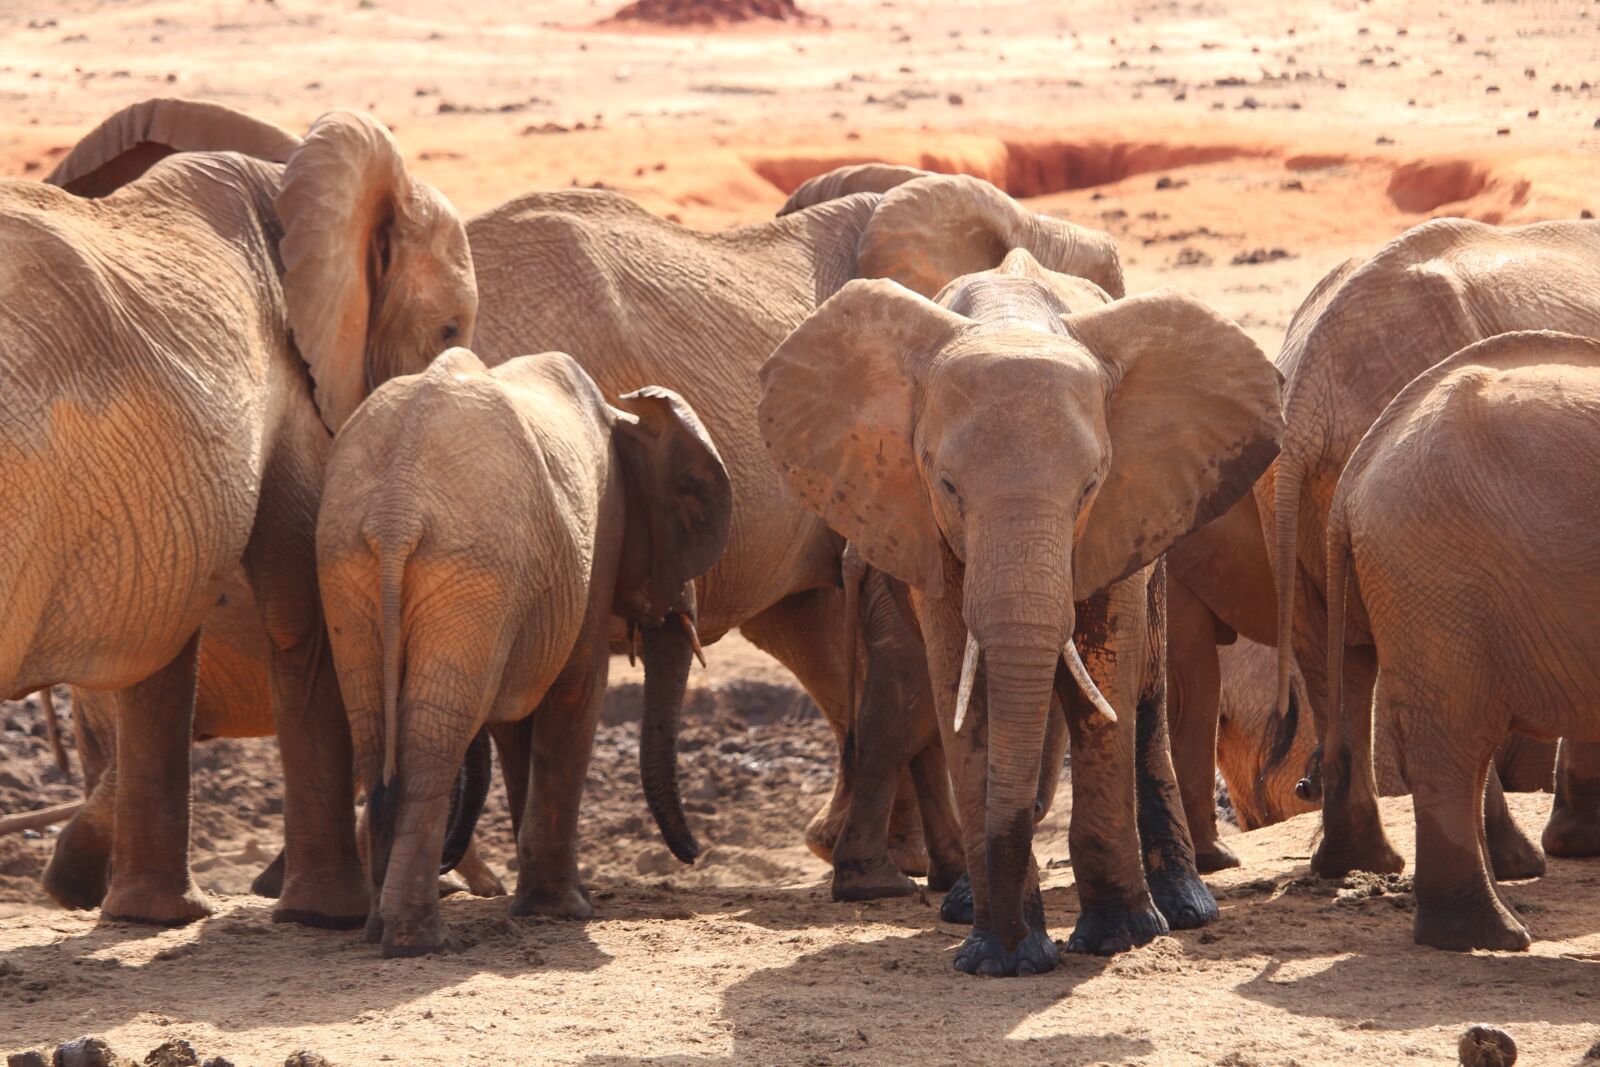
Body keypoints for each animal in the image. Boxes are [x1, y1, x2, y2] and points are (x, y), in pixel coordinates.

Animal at [0, 97, 476, 927]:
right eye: (450, 330)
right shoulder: (292, 386)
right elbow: (301, 609)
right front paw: (328, 917)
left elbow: (162, 628)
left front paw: (153, 917)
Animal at [317, 348, 732, 957]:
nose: (696, 854)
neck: (623, 416)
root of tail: (396, 509)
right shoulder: (596, 540)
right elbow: (575, 695)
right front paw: (566, 910)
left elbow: (515, 729)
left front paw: (537, 905)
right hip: (472, 566)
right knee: (432, 740)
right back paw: (421, 942)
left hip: (348, 562)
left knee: (374, 732)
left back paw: (378, 930)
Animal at [758, 248, 1284, 975]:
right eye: (947, 484)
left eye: (1090, 484)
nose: (1011, 947)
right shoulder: (919, 518)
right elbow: (960, 675)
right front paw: (997, 958)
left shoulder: (1128, 501)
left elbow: (1105, 674)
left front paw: (1118, 938)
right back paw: (961, 907)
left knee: (1147, 693)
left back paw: (1182, 908)